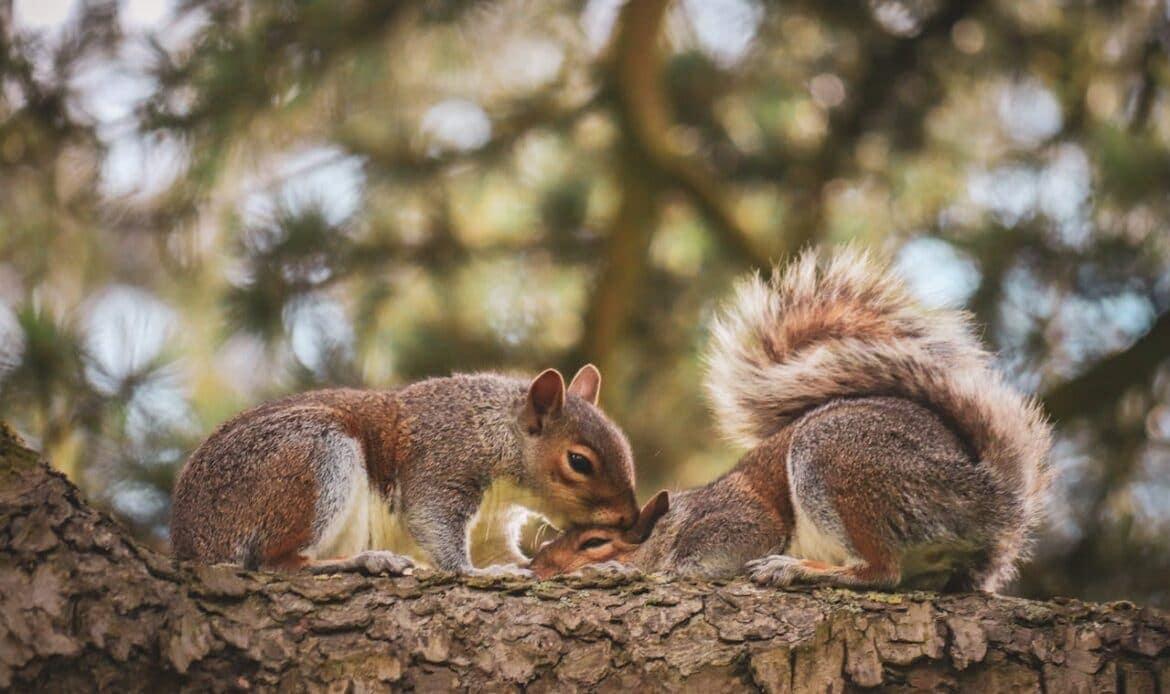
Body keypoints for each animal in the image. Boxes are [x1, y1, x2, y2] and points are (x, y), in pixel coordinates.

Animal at [171, 366, 639, 575]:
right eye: (579, 462)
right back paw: (365, 560)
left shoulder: (492, 525)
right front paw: (476, 572)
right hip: (315, 456)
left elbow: (510, 555)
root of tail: (191, 541)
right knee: (277, 563)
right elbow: (432, 522)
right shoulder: (442, 463)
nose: (631, 520)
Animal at [529, 247, 1053, 592]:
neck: (674, 522)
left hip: (839, 464)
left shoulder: (739, 523)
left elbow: (694, 562)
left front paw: (619, 570)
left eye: (595, 542)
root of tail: (987, 496)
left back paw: (794, 568)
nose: (536, 568)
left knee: (880, 571)